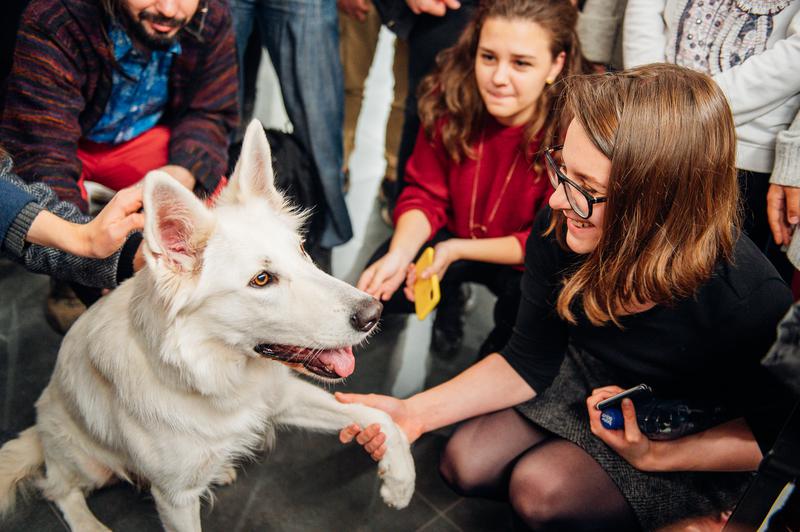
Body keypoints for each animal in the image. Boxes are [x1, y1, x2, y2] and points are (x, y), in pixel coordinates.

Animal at [0, 121, 412, 532]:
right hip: (87, 463)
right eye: (262, 279)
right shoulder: (175, 499)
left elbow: (379, 415)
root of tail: (40, 426)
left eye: (301, 251)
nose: (373, 313)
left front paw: (400, 480)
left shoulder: (281, 396)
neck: (214, 373)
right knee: (58, 487)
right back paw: (90, 523)